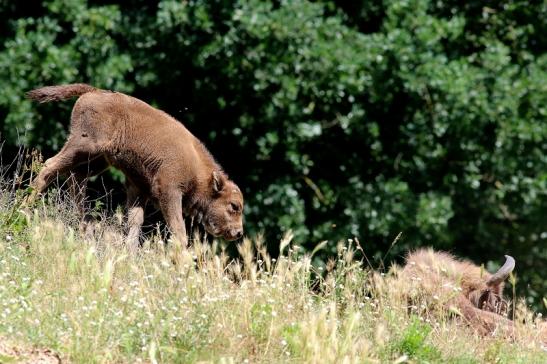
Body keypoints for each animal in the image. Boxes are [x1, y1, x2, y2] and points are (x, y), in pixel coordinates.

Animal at [25, 83, 244, 247]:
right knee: (50, 166)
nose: (238, 233)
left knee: (75, 178)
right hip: (84, 146)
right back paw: (25, 208)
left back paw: (85, 225)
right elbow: (178, 228)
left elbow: (135, 221)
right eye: (234, 206)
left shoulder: (139, 189)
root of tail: (94, 91)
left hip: (96, 160)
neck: (197, 169)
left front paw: (129, 250)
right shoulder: (169, 191)